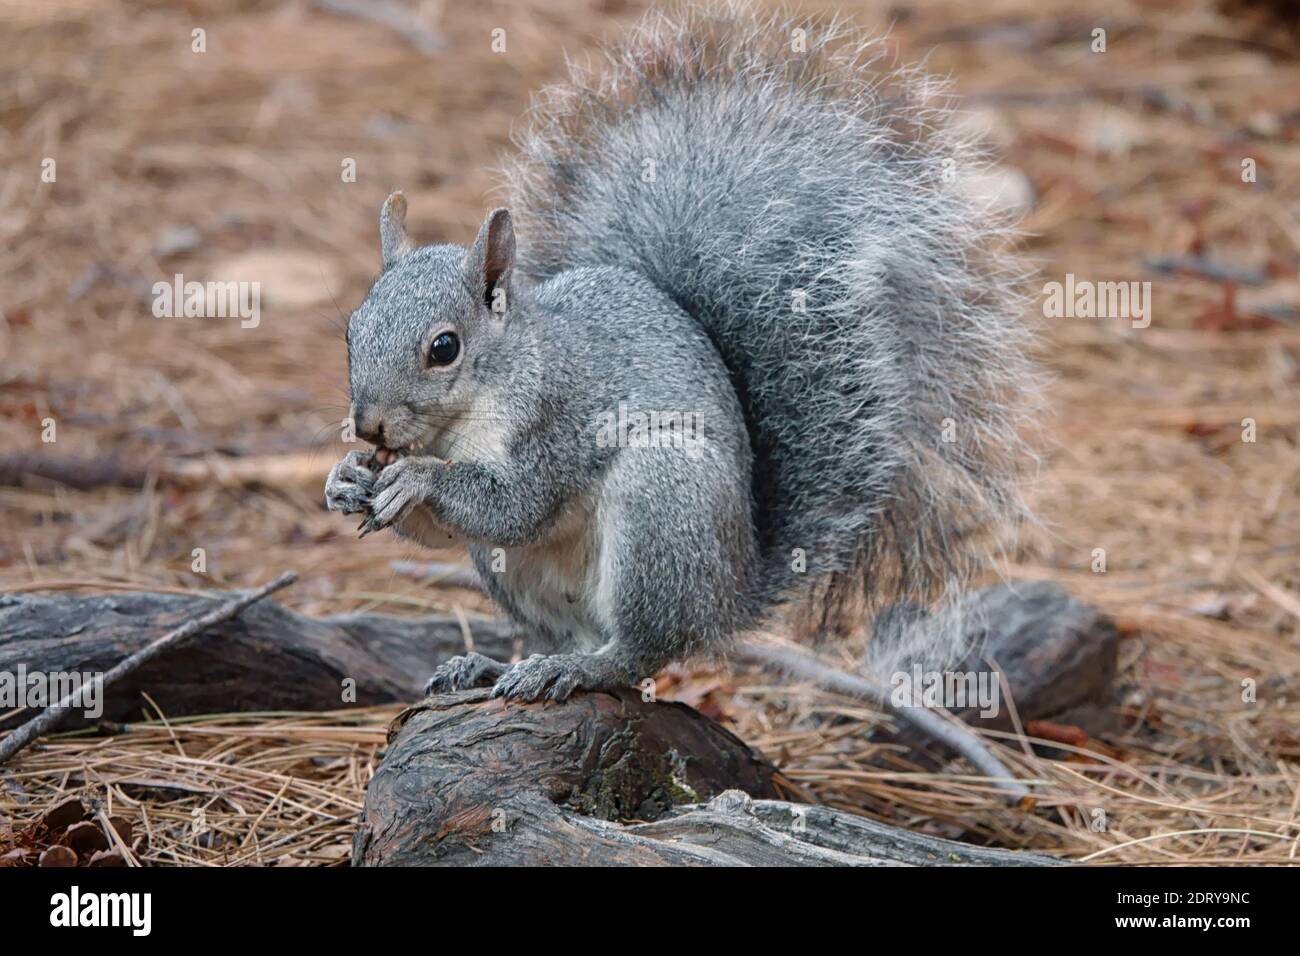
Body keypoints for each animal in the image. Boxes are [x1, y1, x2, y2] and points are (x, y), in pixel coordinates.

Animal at [325, 5, 1038, 704]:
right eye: (350, 330)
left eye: (444, 348)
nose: (369, 426)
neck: (475, 403)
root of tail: (733, 593)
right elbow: (451, 528)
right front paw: (346, 479)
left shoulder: (558, 417)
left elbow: (516, 504)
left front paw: (418, 479)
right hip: (524, 575)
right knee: (575, 631)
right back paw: (499, 665)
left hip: (665, 501)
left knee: (642, 648)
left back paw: (577, 669)